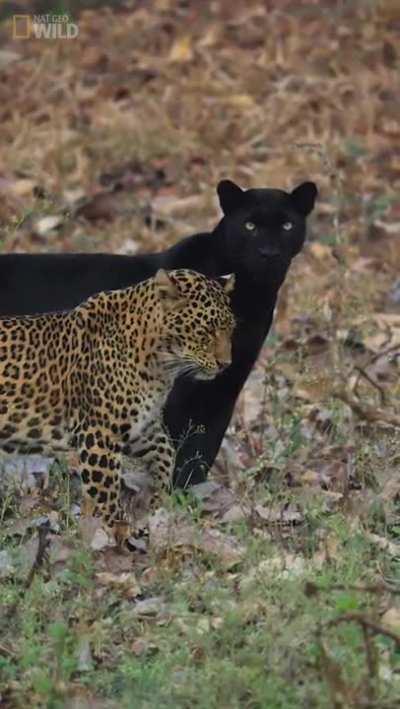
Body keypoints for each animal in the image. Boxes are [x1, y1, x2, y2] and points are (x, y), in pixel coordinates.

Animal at [0, 269, 235, 536]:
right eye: (205, 331)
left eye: (231, 330)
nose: (226, 364)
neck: (160, 365)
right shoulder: (99, 434)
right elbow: (106, 492)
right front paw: (119, 529)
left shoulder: (138, 427)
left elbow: (166, 451)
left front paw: (157, 500)